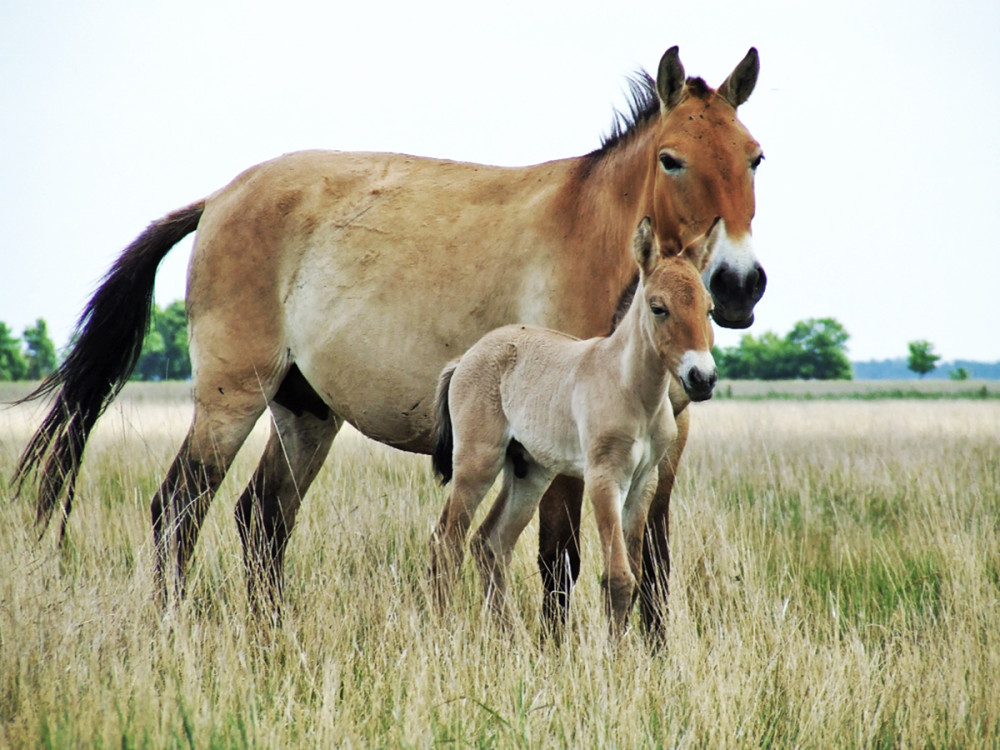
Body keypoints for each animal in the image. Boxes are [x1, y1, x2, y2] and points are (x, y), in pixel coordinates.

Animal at [430, 217, 720, 636]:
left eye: (709, 309)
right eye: (658, 308)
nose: (703, 378)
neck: (633, 391)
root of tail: (466, 357)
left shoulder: (643, 483)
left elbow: (635, 575)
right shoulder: (604, 478)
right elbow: (618, 578)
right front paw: (614, 654)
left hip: (529, 472)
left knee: (490, 544)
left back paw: (508, 638)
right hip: (477, 463)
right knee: (447, 542)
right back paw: (442, 630)